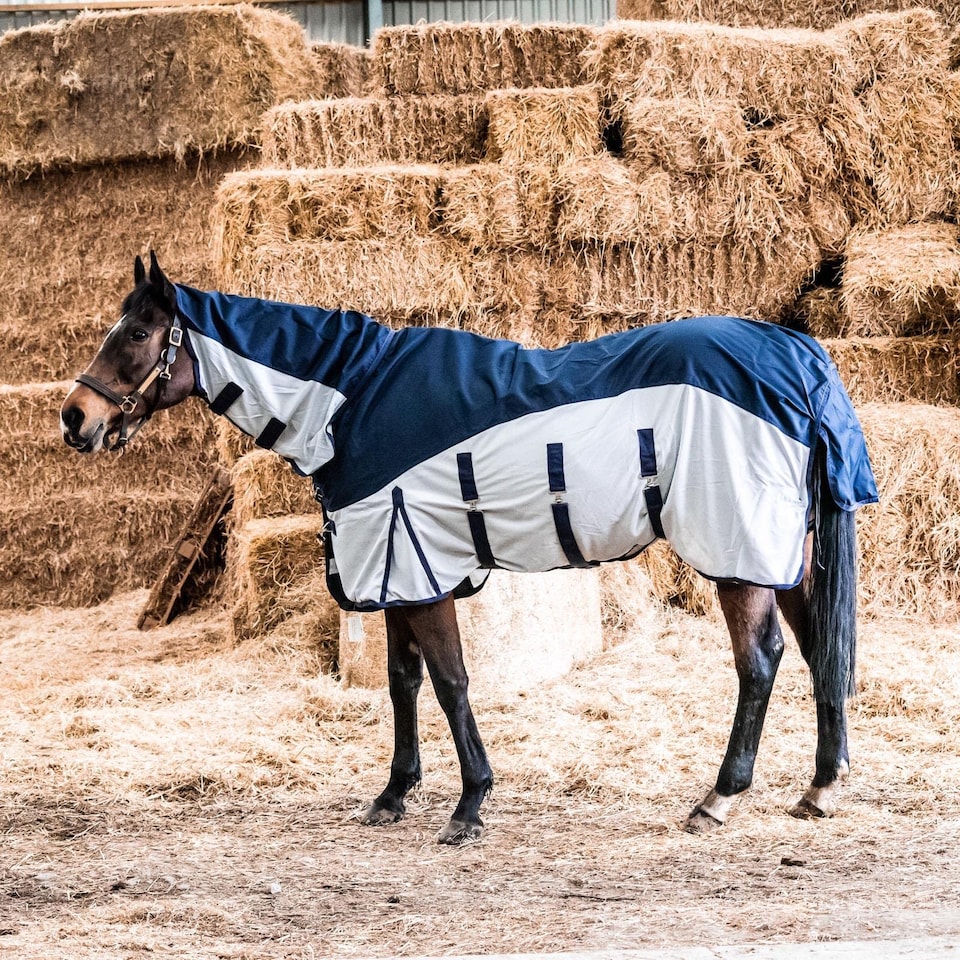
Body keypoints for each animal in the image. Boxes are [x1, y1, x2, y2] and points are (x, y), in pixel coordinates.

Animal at [61, 252, 878, 845]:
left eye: (137, 334)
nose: (75, 419)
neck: (352, 399)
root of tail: (794, 352)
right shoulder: (391, 574)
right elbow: (402, 683)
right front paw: (395, 792)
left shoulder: (418, 569)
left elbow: (452, 683)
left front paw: (470, 804)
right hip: (785, 555)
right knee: (819, 649)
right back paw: (820, 787)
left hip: (740, 555)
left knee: (761, 661)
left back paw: (718, 797)